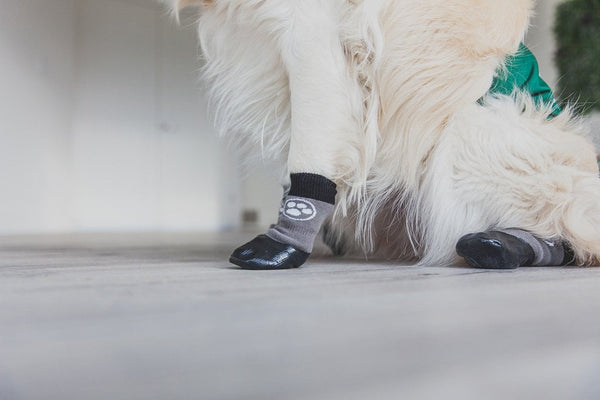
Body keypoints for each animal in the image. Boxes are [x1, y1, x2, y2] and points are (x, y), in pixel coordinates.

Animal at [171, 0, 600, 268]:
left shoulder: (313, 44)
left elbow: (311, 156)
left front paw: (281, 245)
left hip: (479, 129)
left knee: (574, 223)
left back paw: (504, 245)